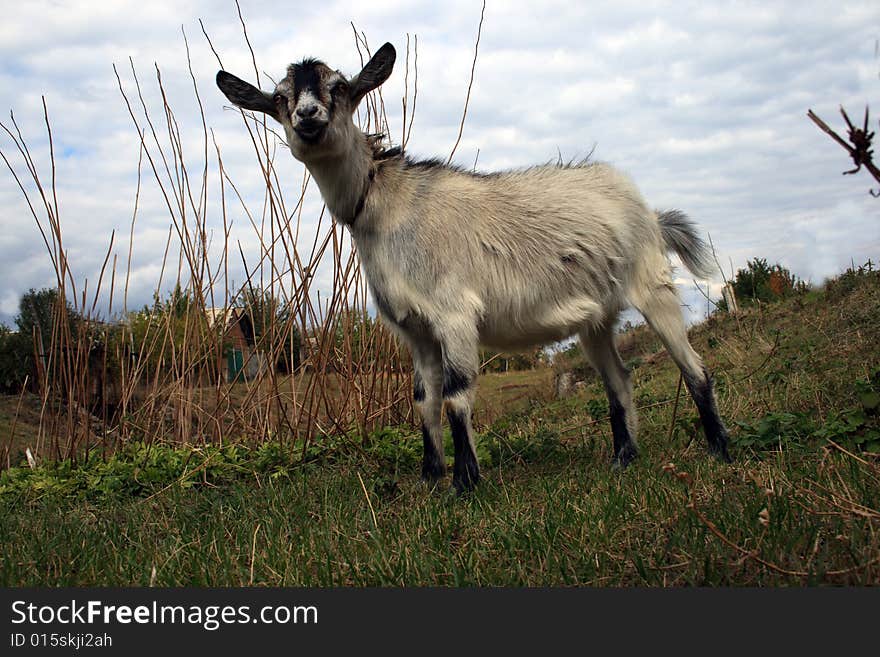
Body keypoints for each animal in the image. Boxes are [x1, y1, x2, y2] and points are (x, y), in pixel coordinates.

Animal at [217, 41, 732, 492]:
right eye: (280, 98)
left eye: (339, 88)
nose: (308, 117)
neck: (385, 207)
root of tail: (648, 210)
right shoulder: (415, 330)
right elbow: (423, 399)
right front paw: (429, 477)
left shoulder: (454, 314)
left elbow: (456, 393)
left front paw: (465, 483)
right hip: (596, 318)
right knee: (619, 379)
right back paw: (624, 458)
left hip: (651, 283)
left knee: (693, 365)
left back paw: (720, 449)